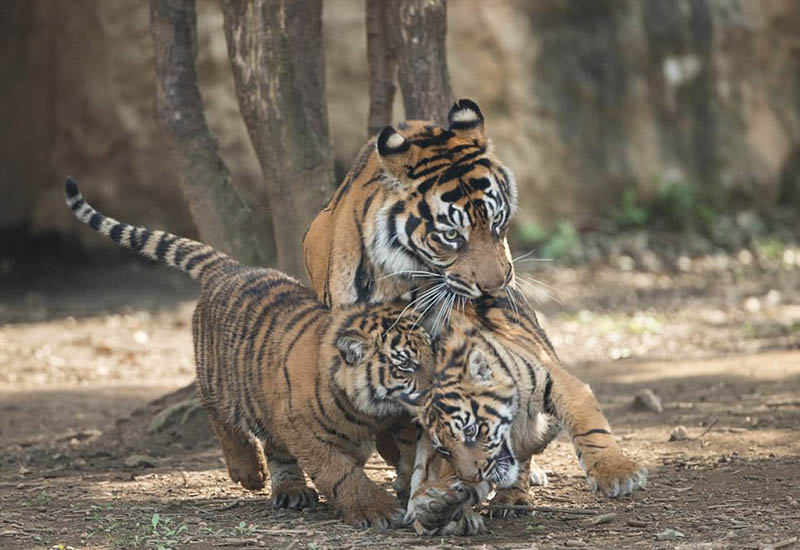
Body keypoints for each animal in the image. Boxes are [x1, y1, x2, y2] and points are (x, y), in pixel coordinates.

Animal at [64, 180, 438, 532]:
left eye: (431, 354)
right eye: (405, 364)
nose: (437, 389)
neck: (369, 410)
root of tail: (229, 268)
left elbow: (407, 452)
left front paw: (408, 487)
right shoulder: (303, 430)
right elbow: (341, 472)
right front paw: (376, 509)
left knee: (274, 448)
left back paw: (290, 490)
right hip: (217, 381)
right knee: (220, 417)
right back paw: (248, 471)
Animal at [406, 300, 648, 536]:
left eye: (470, 430)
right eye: (444, 450)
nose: (472, 476)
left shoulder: (561, 385)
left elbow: (590, 429)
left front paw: (617, 474)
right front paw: (440, 506)